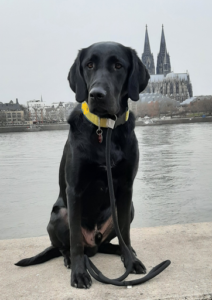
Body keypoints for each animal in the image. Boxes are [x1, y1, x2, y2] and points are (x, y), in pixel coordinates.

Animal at [15, 41, 149, 288]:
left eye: (118, 65)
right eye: (89, 65)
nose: (96, 94)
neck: (104, 130)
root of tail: (93, 245)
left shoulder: (127, 188)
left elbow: (125, 232)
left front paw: (131, 261)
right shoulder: (74, 190)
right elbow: (75, 239)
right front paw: (79, 273)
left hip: (125, 209)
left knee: (107, 242)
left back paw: (120, 251)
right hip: (59, 214)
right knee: (65, 247)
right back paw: (70, 260)